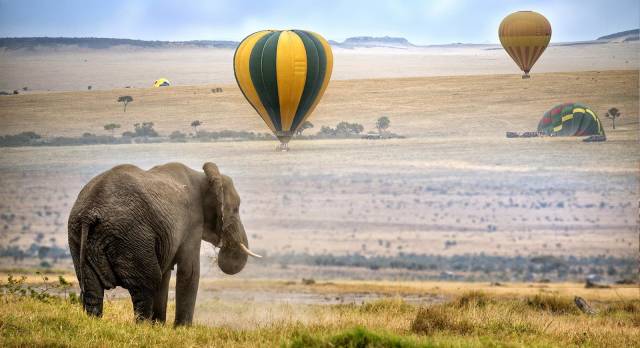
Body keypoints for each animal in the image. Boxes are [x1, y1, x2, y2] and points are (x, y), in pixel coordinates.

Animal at [67, 162, 260, 324]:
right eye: (235, 209)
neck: (204, 176)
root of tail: (89, 213)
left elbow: (166, 273)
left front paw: (159, 326)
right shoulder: (192, 222)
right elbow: (189, 271)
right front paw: (181, 329)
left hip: (78, 237)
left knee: (92, 290)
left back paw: (95, 323)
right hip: (131, 237)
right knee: (147, 284)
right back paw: (143, 327)